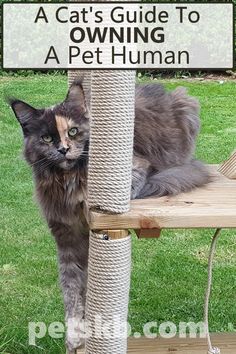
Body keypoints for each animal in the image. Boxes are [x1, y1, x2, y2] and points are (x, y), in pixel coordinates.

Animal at [8, 81, 210, 352]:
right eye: (47, 138)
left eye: (73, 131)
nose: (63, 149)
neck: (68, 179)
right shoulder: (67, 238)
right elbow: (71, 290)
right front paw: (74, 335)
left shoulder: (137, 168)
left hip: (187, 105)